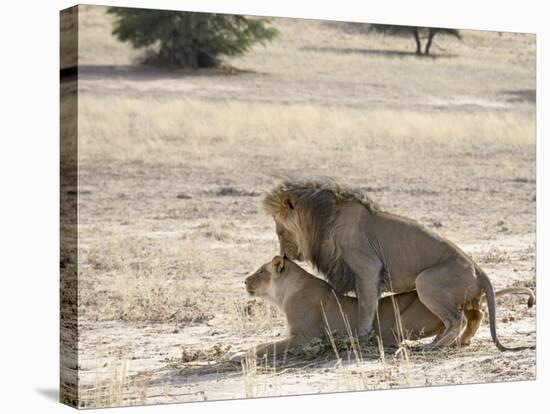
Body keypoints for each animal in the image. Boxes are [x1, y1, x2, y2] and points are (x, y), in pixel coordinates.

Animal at [247, 256, 540, 356]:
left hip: (416, 305)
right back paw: (460, 341)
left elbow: (265, 347)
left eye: (260, 272)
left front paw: (245, 355)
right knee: (473, 313)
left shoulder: (305, 337)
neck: (284, 292)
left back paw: (431, 345)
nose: (244, 281)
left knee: (458, 318)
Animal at [266, 181, 536, 350]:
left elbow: (366, 307)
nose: (284, 255)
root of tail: (477, 268)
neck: (321, 221)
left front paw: (360, 337)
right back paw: (460, 342)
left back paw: (433, 347)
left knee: (456, 319)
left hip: (425, 281)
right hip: (462, 295)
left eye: (280, 231)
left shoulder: (368, 268)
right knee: (476, 314)